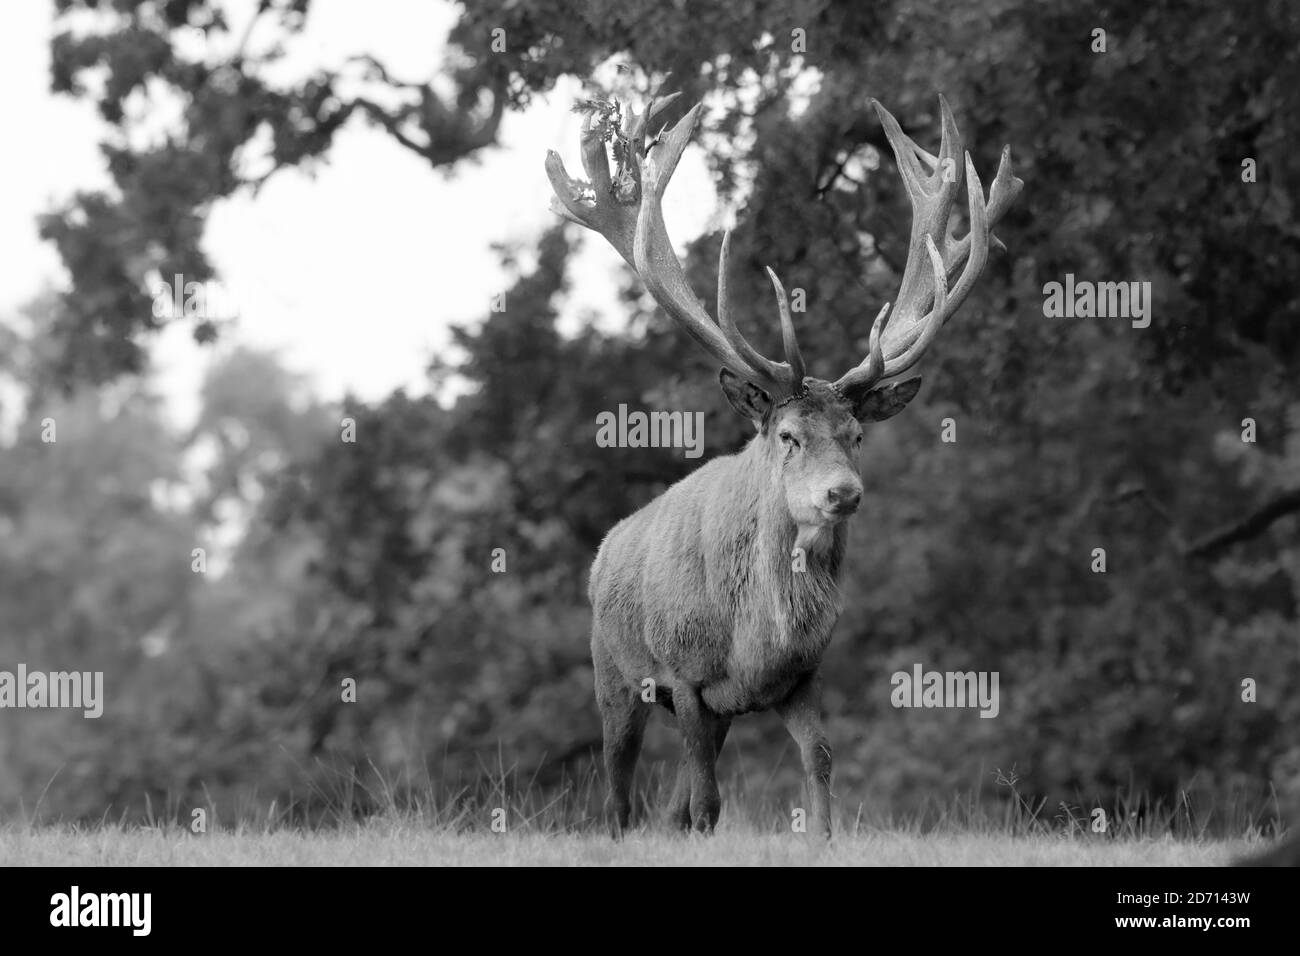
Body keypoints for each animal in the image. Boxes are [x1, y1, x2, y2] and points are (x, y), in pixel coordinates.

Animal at [545, 89, 1022, 838]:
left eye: (856, 434)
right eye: (789, 435)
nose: (843, 493)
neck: (757, 640)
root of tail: (605, 548)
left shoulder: (801, 677)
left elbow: (818, 765)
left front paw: (822, 836)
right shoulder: (684, 675)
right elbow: (709, 802)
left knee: (671, 801)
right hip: (613, 671)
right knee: (620, 789)